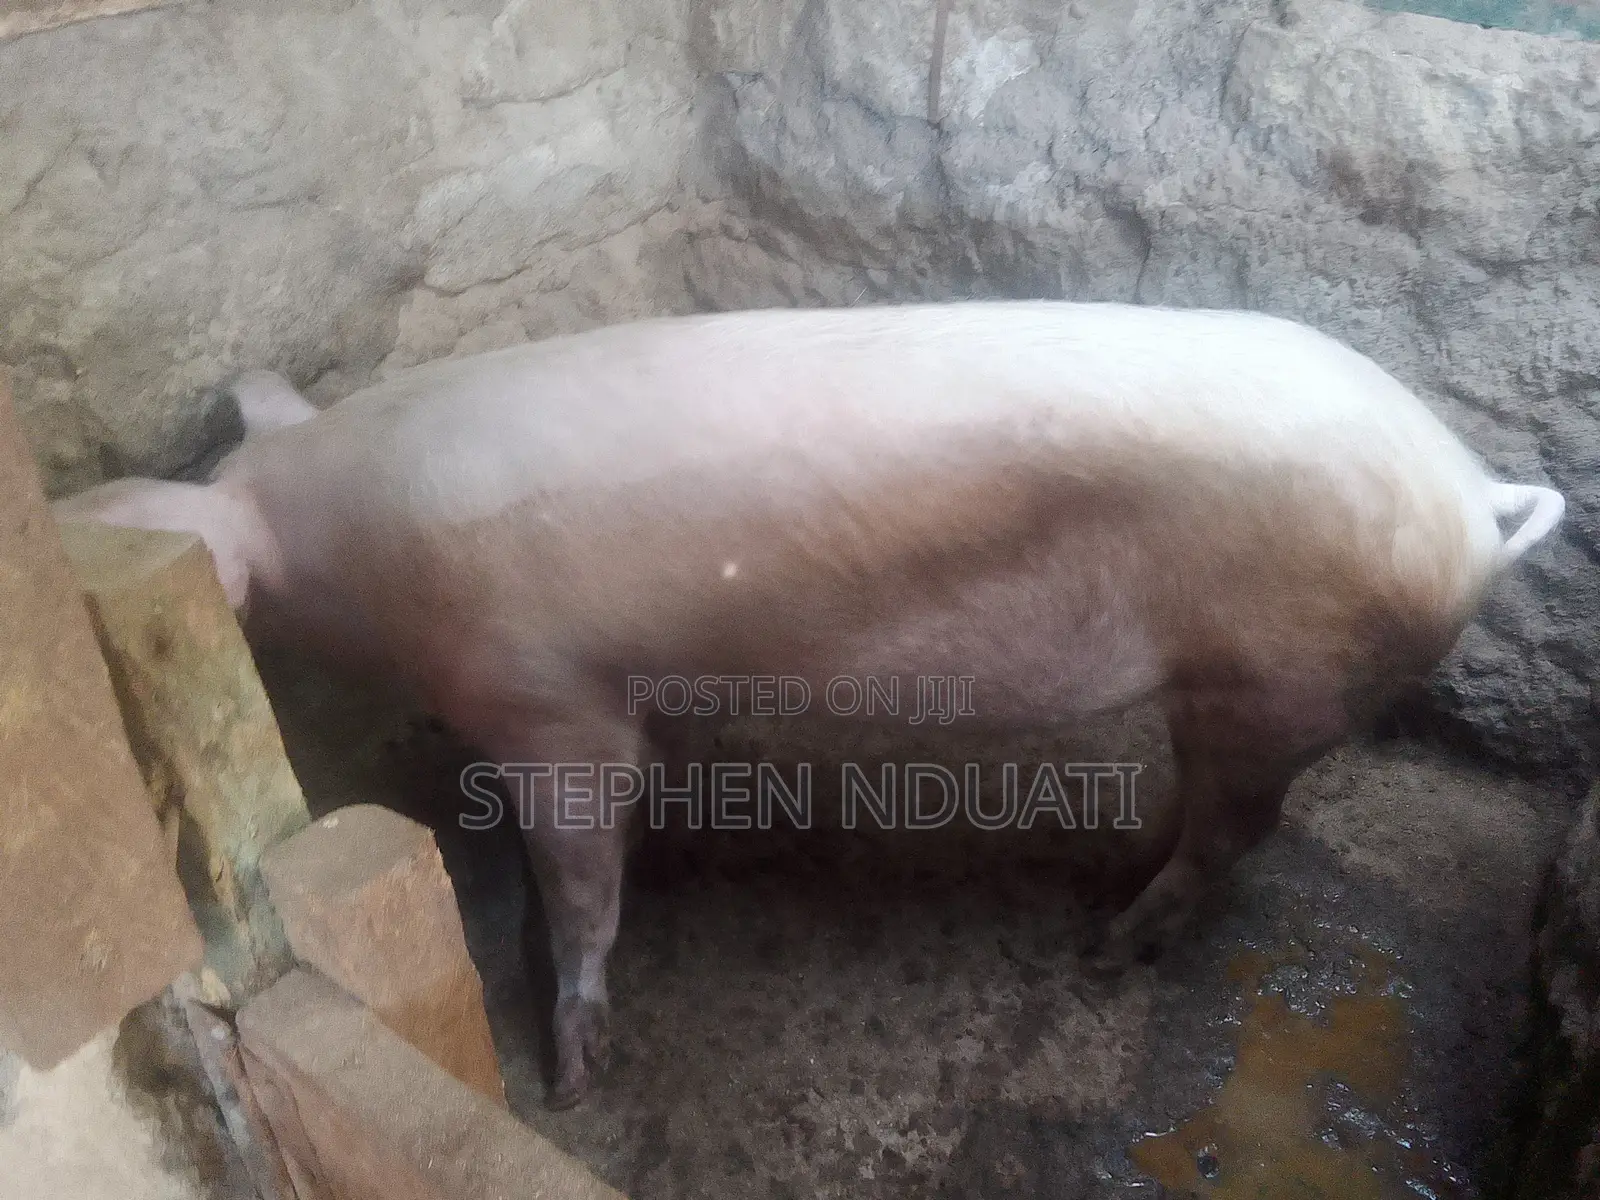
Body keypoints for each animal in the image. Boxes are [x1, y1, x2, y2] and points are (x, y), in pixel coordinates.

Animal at [51, 300, 1564, 1107]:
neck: (342, 542)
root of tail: (1471, 492)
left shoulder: (544, 700)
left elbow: (583, 875)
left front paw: (574, 1073)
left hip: (1278, 677)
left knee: (1236, 837)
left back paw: (1109, 946)